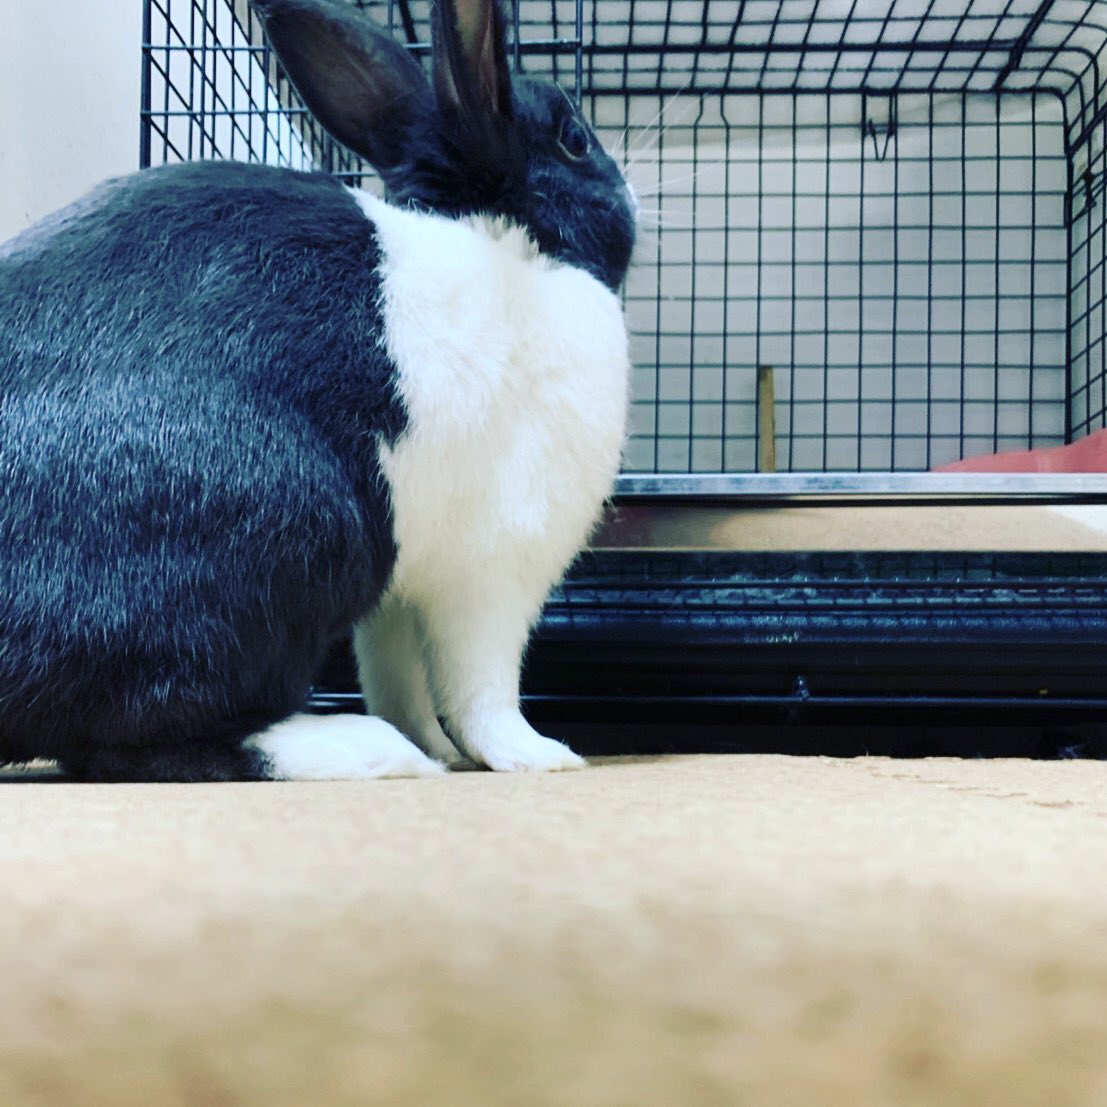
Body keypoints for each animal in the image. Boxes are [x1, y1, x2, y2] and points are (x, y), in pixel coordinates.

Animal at [0, 0, 636, 782]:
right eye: (575, 140)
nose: (632, 194)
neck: (515, 251)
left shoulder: (399, 595)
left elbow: (395, 674)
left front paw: (437, 745)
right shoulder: (493, 569)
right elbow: (482, 689)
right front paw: (536, 756)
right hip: (295, 523)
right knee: (133, 736)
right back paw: (355, 747)